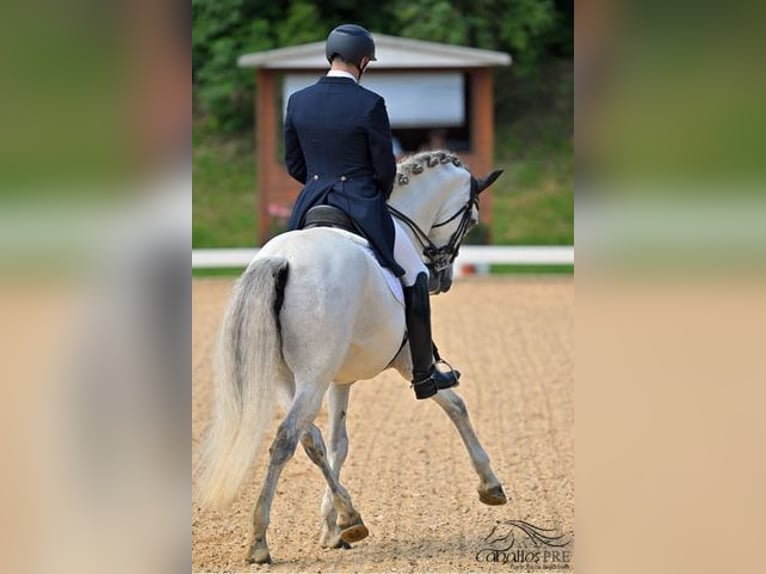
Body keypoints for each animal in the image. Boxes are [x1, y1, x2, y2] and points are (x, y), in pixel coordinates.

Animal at [195, 151, 510, 564]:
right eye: (470, 220)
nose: (442, 280)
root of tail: (281, 259)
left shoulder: (339, 380)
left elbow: (337, 444)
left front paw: (333, 527)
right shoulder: (407, 360)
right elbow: (455, 404)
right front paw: (490, 485)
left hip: (287, 377)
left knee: (308, 437)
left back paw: (348, 516)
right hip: (313, 375)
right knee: (286, 437)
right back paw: (261, 540)